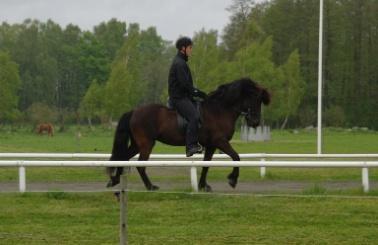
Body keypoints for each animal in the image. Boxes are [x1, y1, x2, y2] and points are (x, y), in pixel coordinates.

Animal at [108, 77, 270, 191]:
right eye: (255, 99)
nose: (255, 122)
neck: (220, 110)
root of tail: (134, 111)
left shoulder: (211, 145)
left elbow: (206, 165)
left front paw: (203, 185)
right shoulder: (220, 141)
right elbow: (236, 157)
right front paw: (232, 180)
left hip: (137, 144)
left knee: (123, 158)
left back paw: (115, 180)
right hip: (146, 144)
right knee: (140, 165)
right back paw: (150, 186)